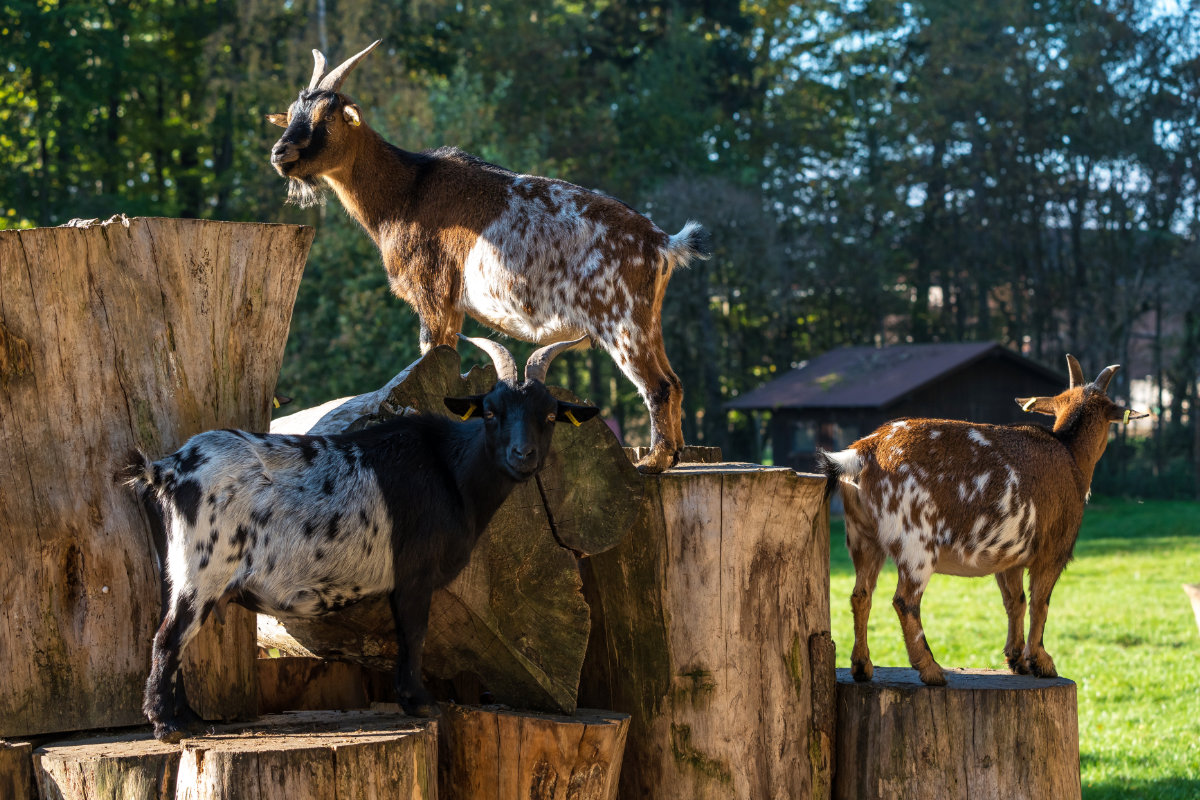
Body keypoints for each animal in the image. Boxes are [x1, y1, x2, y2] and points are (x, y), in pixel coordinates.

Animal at [124, 336, 598, 742]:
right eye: (491, 413)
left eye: (550, 415)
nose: (523, 455)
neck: (450, 470)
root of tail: (165, 470)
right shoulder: (414, 574)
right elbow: (414, 632)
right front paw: (419, 702)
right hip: (204, 567)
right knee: (169, 637)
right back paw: (169, 726)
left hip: (173, 569)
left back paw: (191, 719)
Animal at [266, 40, 711, 474]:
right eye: (291, 113)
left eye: (329, 116)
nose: (280, 153)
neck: (406, 191)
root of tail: (662, 242)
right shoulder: (452, 304)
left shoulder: (432, 291)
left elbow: (433, 351)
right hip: (647, 320)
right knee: (676, 381)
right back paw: (675, 453)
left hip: (620, 321)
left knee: (658, 385)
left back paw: (653, 461)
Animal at [817, 355, 1145, 686]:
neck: (1070, 454)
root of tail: (863, 451)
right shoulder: (1053, 550)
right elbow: (1040, 602)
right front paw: (1042, 662)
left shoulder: (1009, 559)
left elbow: (1015, 601)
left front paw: (1016, 660)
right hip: (915, 542)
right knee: (904, 601)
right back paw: (931, 669)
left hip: (862, 537)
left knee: (861, 595)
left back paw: (862, 666)